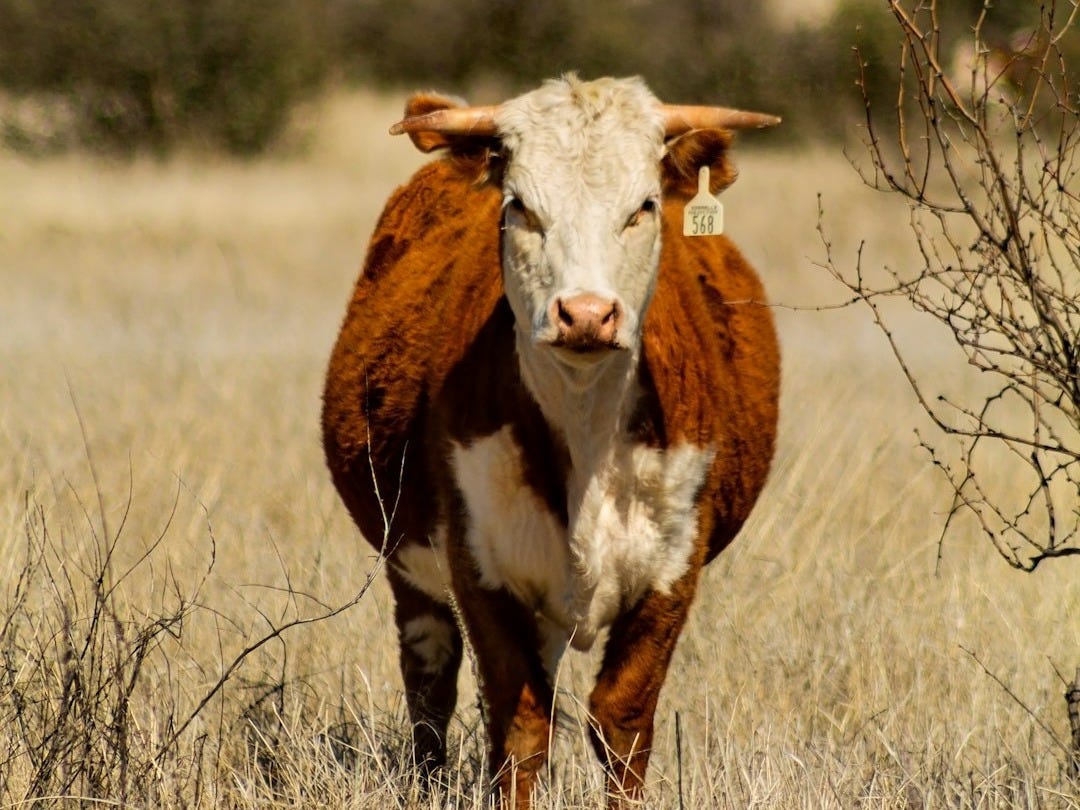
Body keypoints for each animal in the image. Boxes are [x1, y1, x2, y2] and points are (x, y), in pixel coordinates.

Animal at [322, 75, 780, 807]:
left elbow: (621, 721)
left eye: (644, 207)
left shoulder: (673, 568)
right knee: (430, 680)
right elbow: (520, 728)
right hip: (409, 564)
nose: (586, 314)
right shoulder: (479, 564)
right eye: (520, 207)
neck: (586, 431)